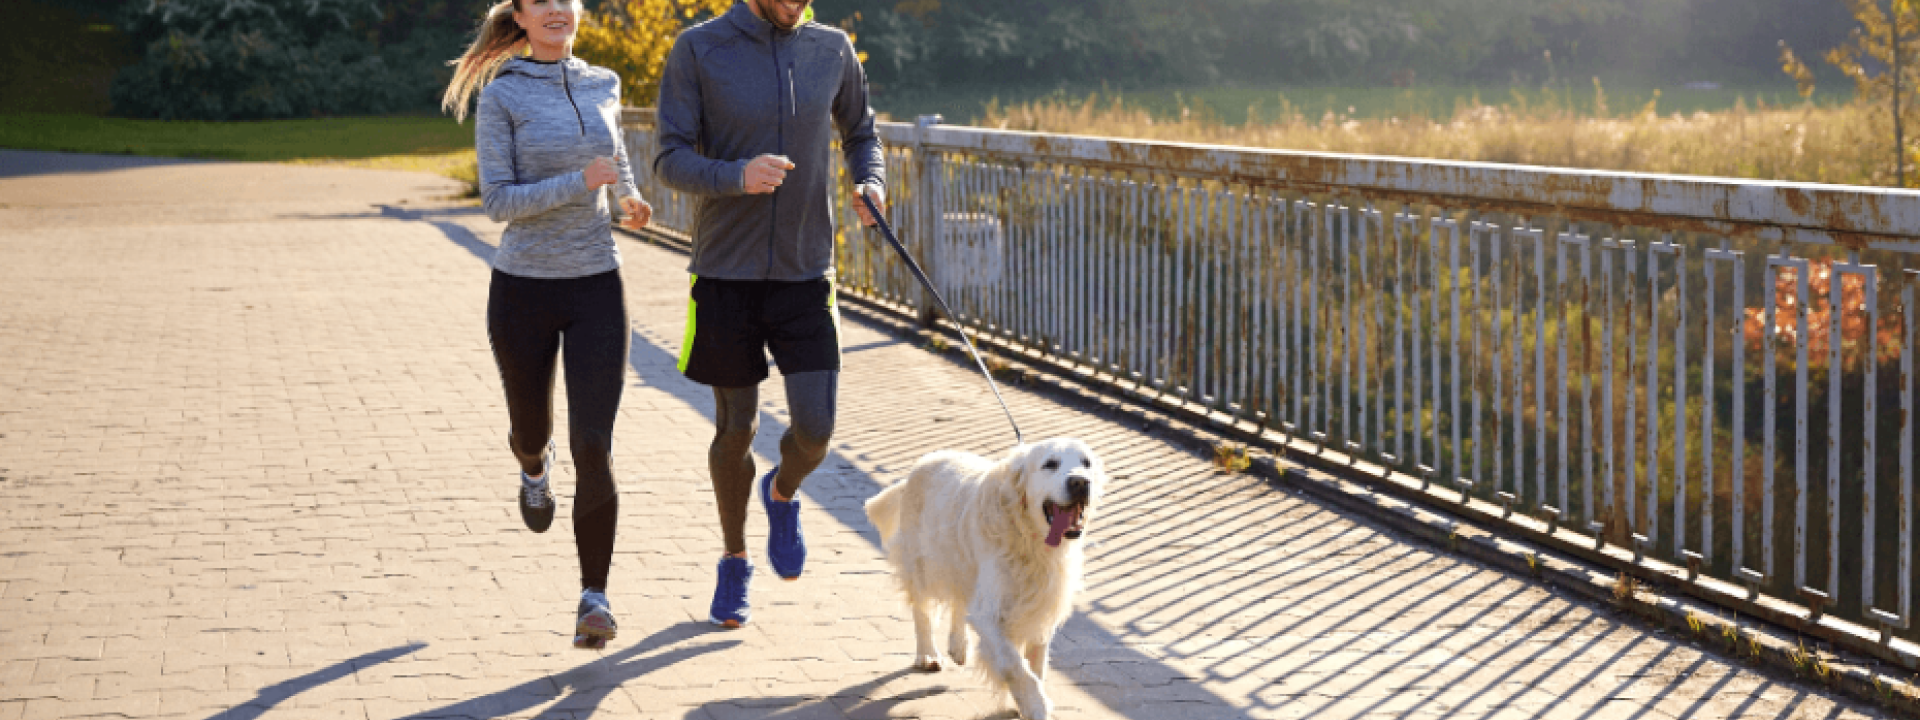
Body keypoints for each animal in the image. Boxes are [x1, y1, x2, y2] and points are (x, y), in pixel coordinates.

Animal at [864, 439, 1105, 720]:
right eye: (1050, 464)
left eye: (1086, 463)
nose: (1080, 482)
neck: (1030, 539)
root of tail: (924, 461)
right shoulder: (991, 612)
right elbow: (1014, 665)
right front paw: (1036, 705)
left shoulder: (1041, 605)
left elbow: (1036, 664)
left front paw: (1027, 702)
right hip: (923, 564)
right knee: (922, 611)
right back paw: (927, 654)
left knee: (959, 602)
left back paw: (958, 647)